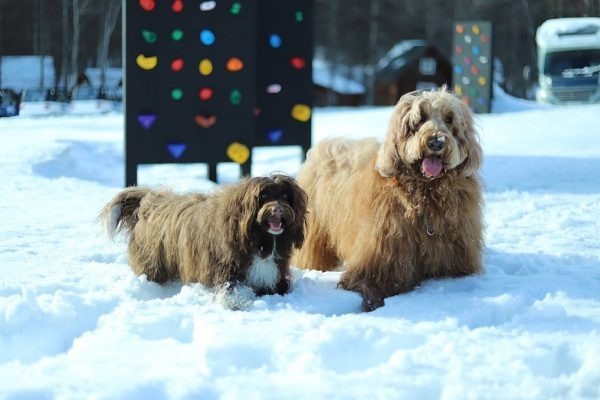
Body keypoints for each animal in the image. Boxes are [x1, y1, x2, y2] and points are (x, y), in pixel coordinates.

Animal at [101, 173, 308, 298]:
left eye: (285, 196)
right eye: (263, 197)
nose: (278, 209)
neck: (259, 239)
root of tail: (148, 202)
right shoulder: (224, 269)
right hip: (152, 258)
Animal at [292, 88, 486, 312]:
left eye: (449, 119)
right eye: (419, 119)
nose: (436, 142)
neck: (425, 194)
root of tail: (328, 146)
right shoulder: (381, 257)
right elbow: (370, 283)